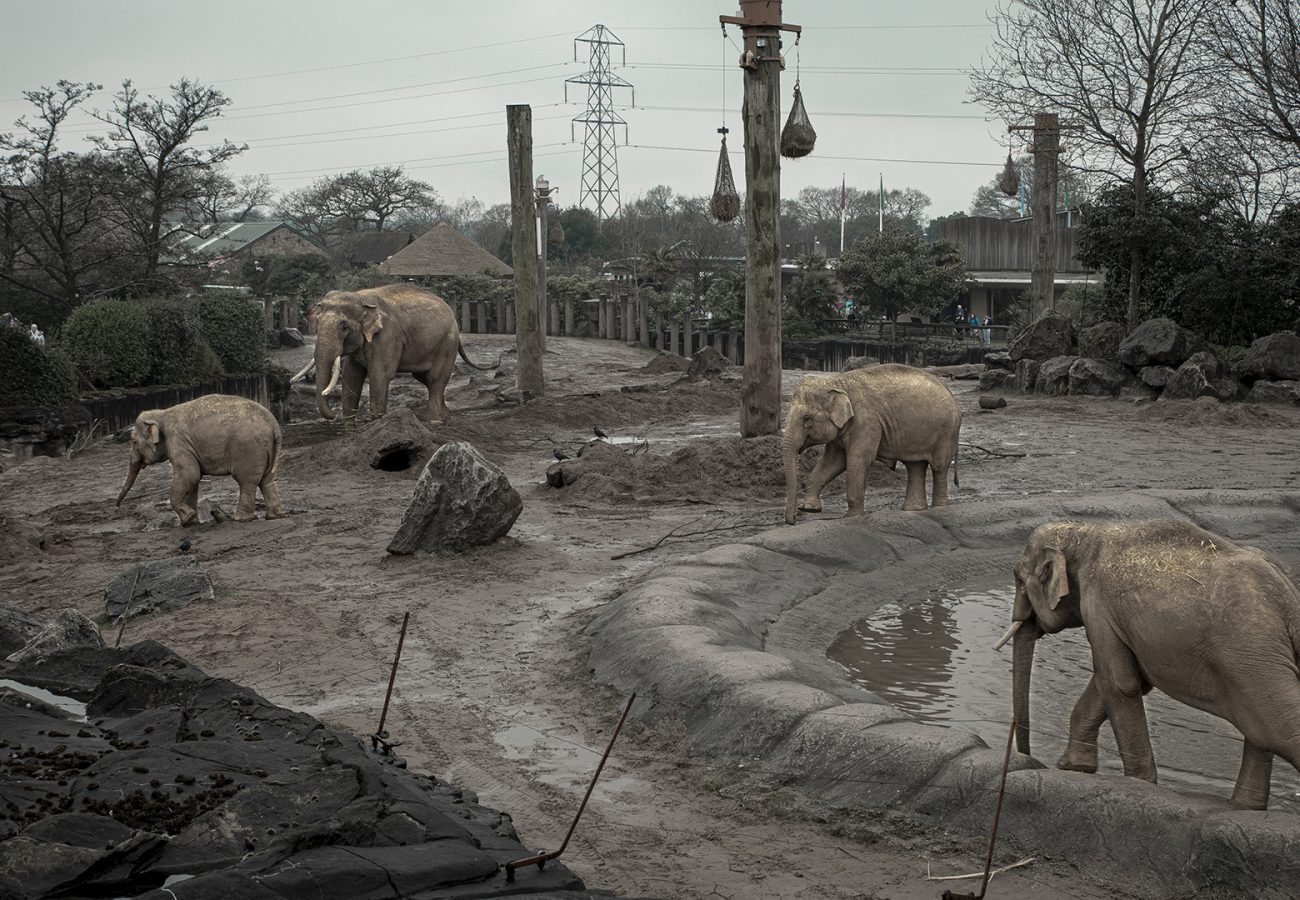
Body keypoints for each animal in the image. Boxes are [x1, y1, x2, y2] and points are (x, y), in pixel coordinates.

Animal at [115, 395, 284, 528]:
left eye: (133, 441)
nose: (116, 506)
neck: (161, 413)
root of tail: (274, 424)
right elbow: (193, 480)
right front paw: (192, 522)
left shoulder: (178, 443)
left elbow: (190, 475)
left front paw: (187, 519)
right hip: (267, 449)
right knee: (267, 480)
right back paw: (274, 516)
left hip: (248, 449)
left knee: (246, 482)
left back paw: (240, 519)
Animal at [295, 286, 496, 423]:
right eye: (317, 322)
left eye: (344, 327)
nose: (332, 414)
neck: (362, 298)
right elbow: (352, 376)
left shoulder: (387, 337)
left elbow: (379, 375)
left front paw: (377, 423)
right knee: (425, 378)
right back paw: (445, 415)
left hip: (447, 344)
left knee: (435, 379)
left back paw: (434, 419)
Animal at [774, 361, 961, 522]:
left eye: (807, 419)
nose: (794, 519)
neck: (837, 382)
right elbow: (833, 462)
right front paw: (809, 508)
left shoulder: (867, 422)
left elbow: (857, 459)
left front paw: (852, 517)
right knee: (915, 466)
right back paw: (913, 510)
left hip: (946, 432)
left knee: (938, 467)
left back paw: (939, 509)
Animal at [993, 517, 1300, 811]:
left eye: (1019, 580)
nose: (1029, 759)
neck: (1084, 533)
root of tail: (1287, 595)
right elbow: (1125, 682)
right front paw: (1073, 767)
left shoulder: (1099, 605)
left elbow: (1118, 683)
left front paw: (1137, 784)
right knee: (1261, 732)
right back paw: (1244, 807)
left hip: (1249, 651)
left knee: (1278, 729)